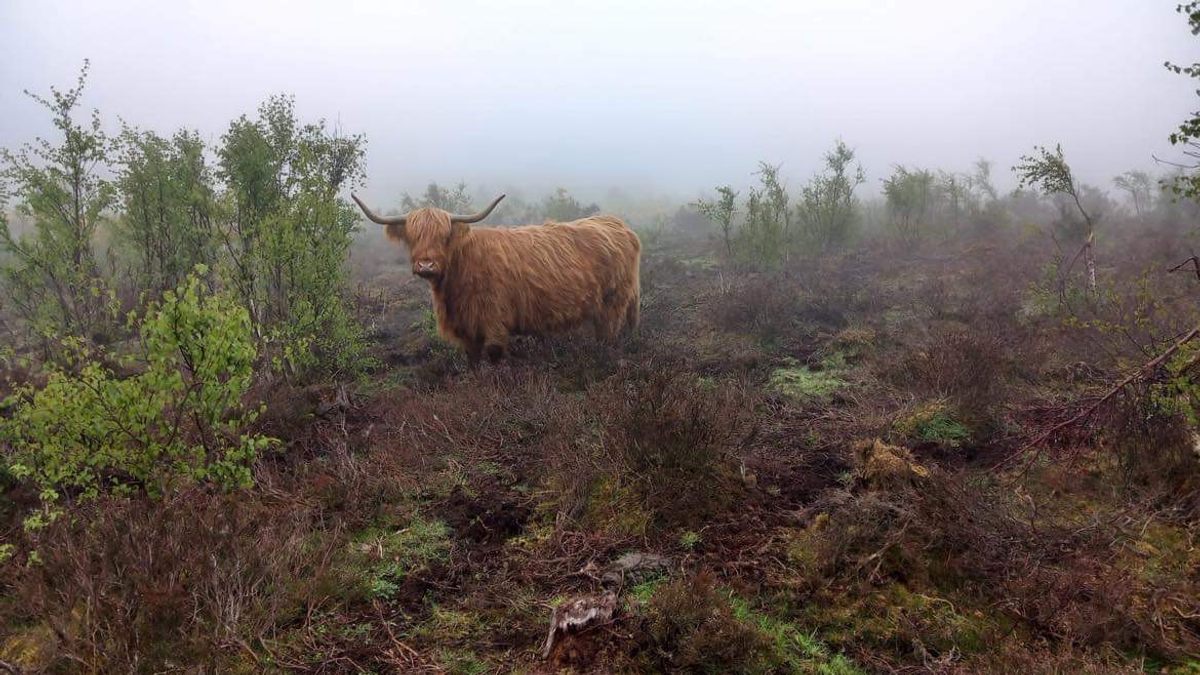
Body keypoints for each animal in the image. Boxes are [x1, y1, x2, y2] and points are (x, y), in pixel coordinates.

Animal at [350, 192, 643, 365]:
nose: (426, 264)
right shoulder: (466, 328)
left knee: (608, 335)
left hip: (613, 303)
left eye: (444, 236)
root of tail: (617, 224)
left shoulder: (494, 320)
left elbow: (493, 356)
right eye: (412, 236)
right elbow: (473, 360)